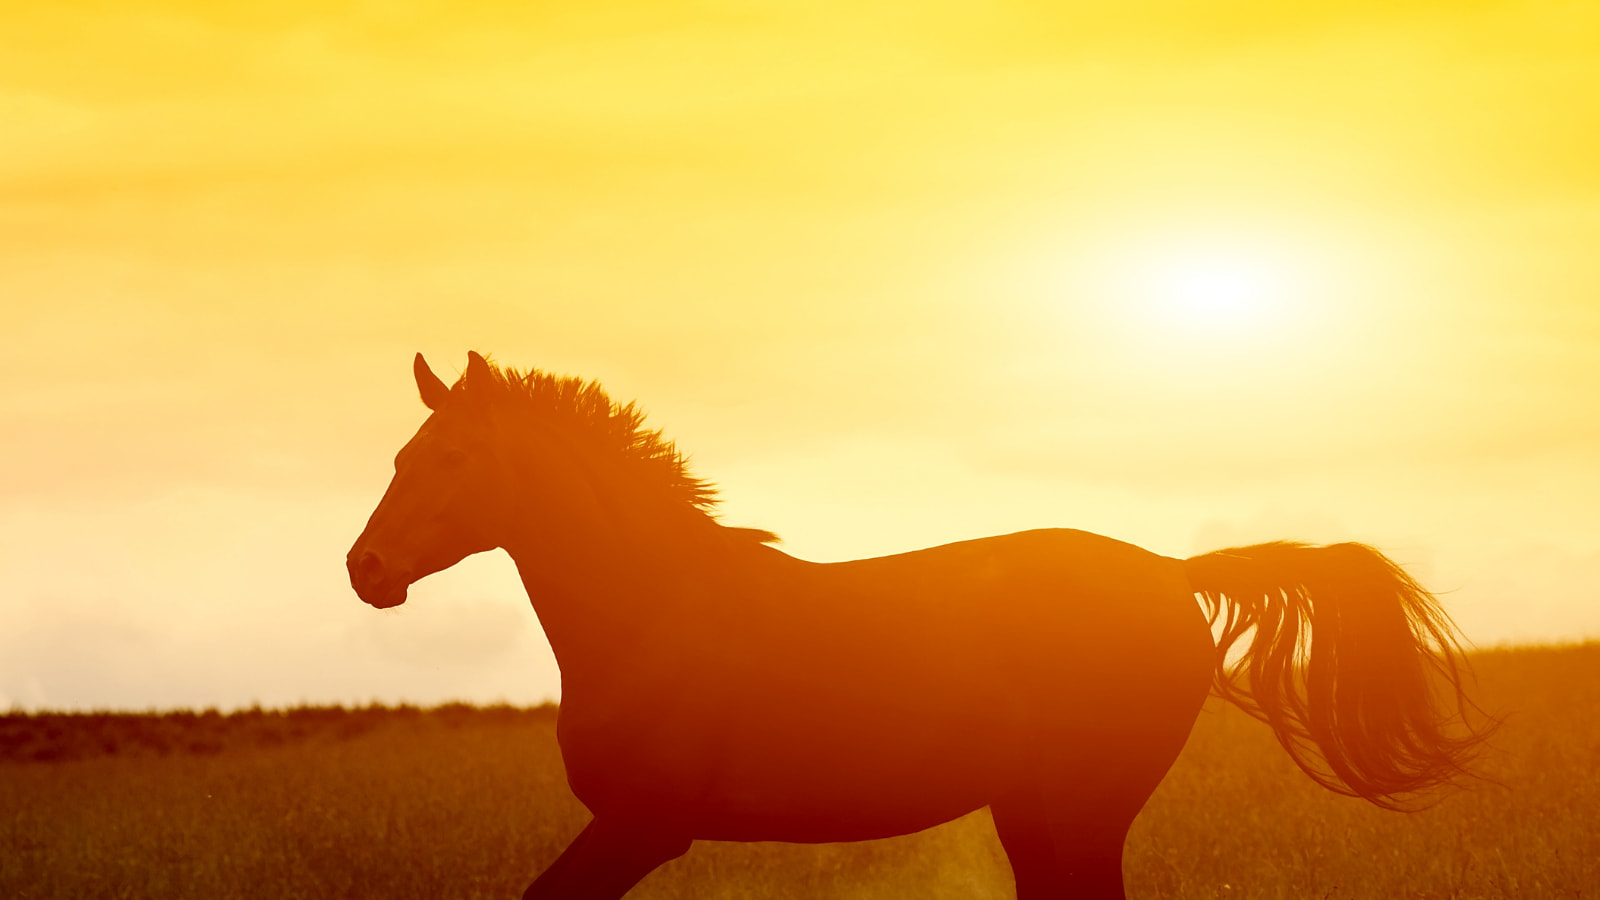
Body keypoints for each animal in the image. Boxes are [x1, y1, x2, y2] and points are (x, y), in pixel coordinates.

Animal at [346, 351, 1486, 900]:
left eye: (453, 459)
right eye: (401, 455)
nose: (367, 572)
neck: (650, 617)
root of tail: (1172, 573)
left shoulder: (642, 827)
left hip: (1080, 811)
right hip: (1037, 815)